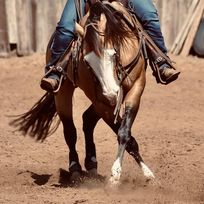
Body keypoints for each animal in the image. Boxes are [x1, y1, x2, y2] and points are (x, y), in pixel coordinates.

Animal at [10, 0, 155, 185]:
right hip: (63, 92)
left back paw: (91, 164)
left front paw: (146, 173)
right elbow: (125, 136)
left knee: (87, 120)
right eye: (86, 62)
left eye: (113, 53)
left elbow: (124, 133)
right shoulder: (101, 101)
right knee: (70, 131)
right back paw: (75, 169)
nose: (111, 94)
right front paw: (115, 175)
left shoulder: (136, 86)